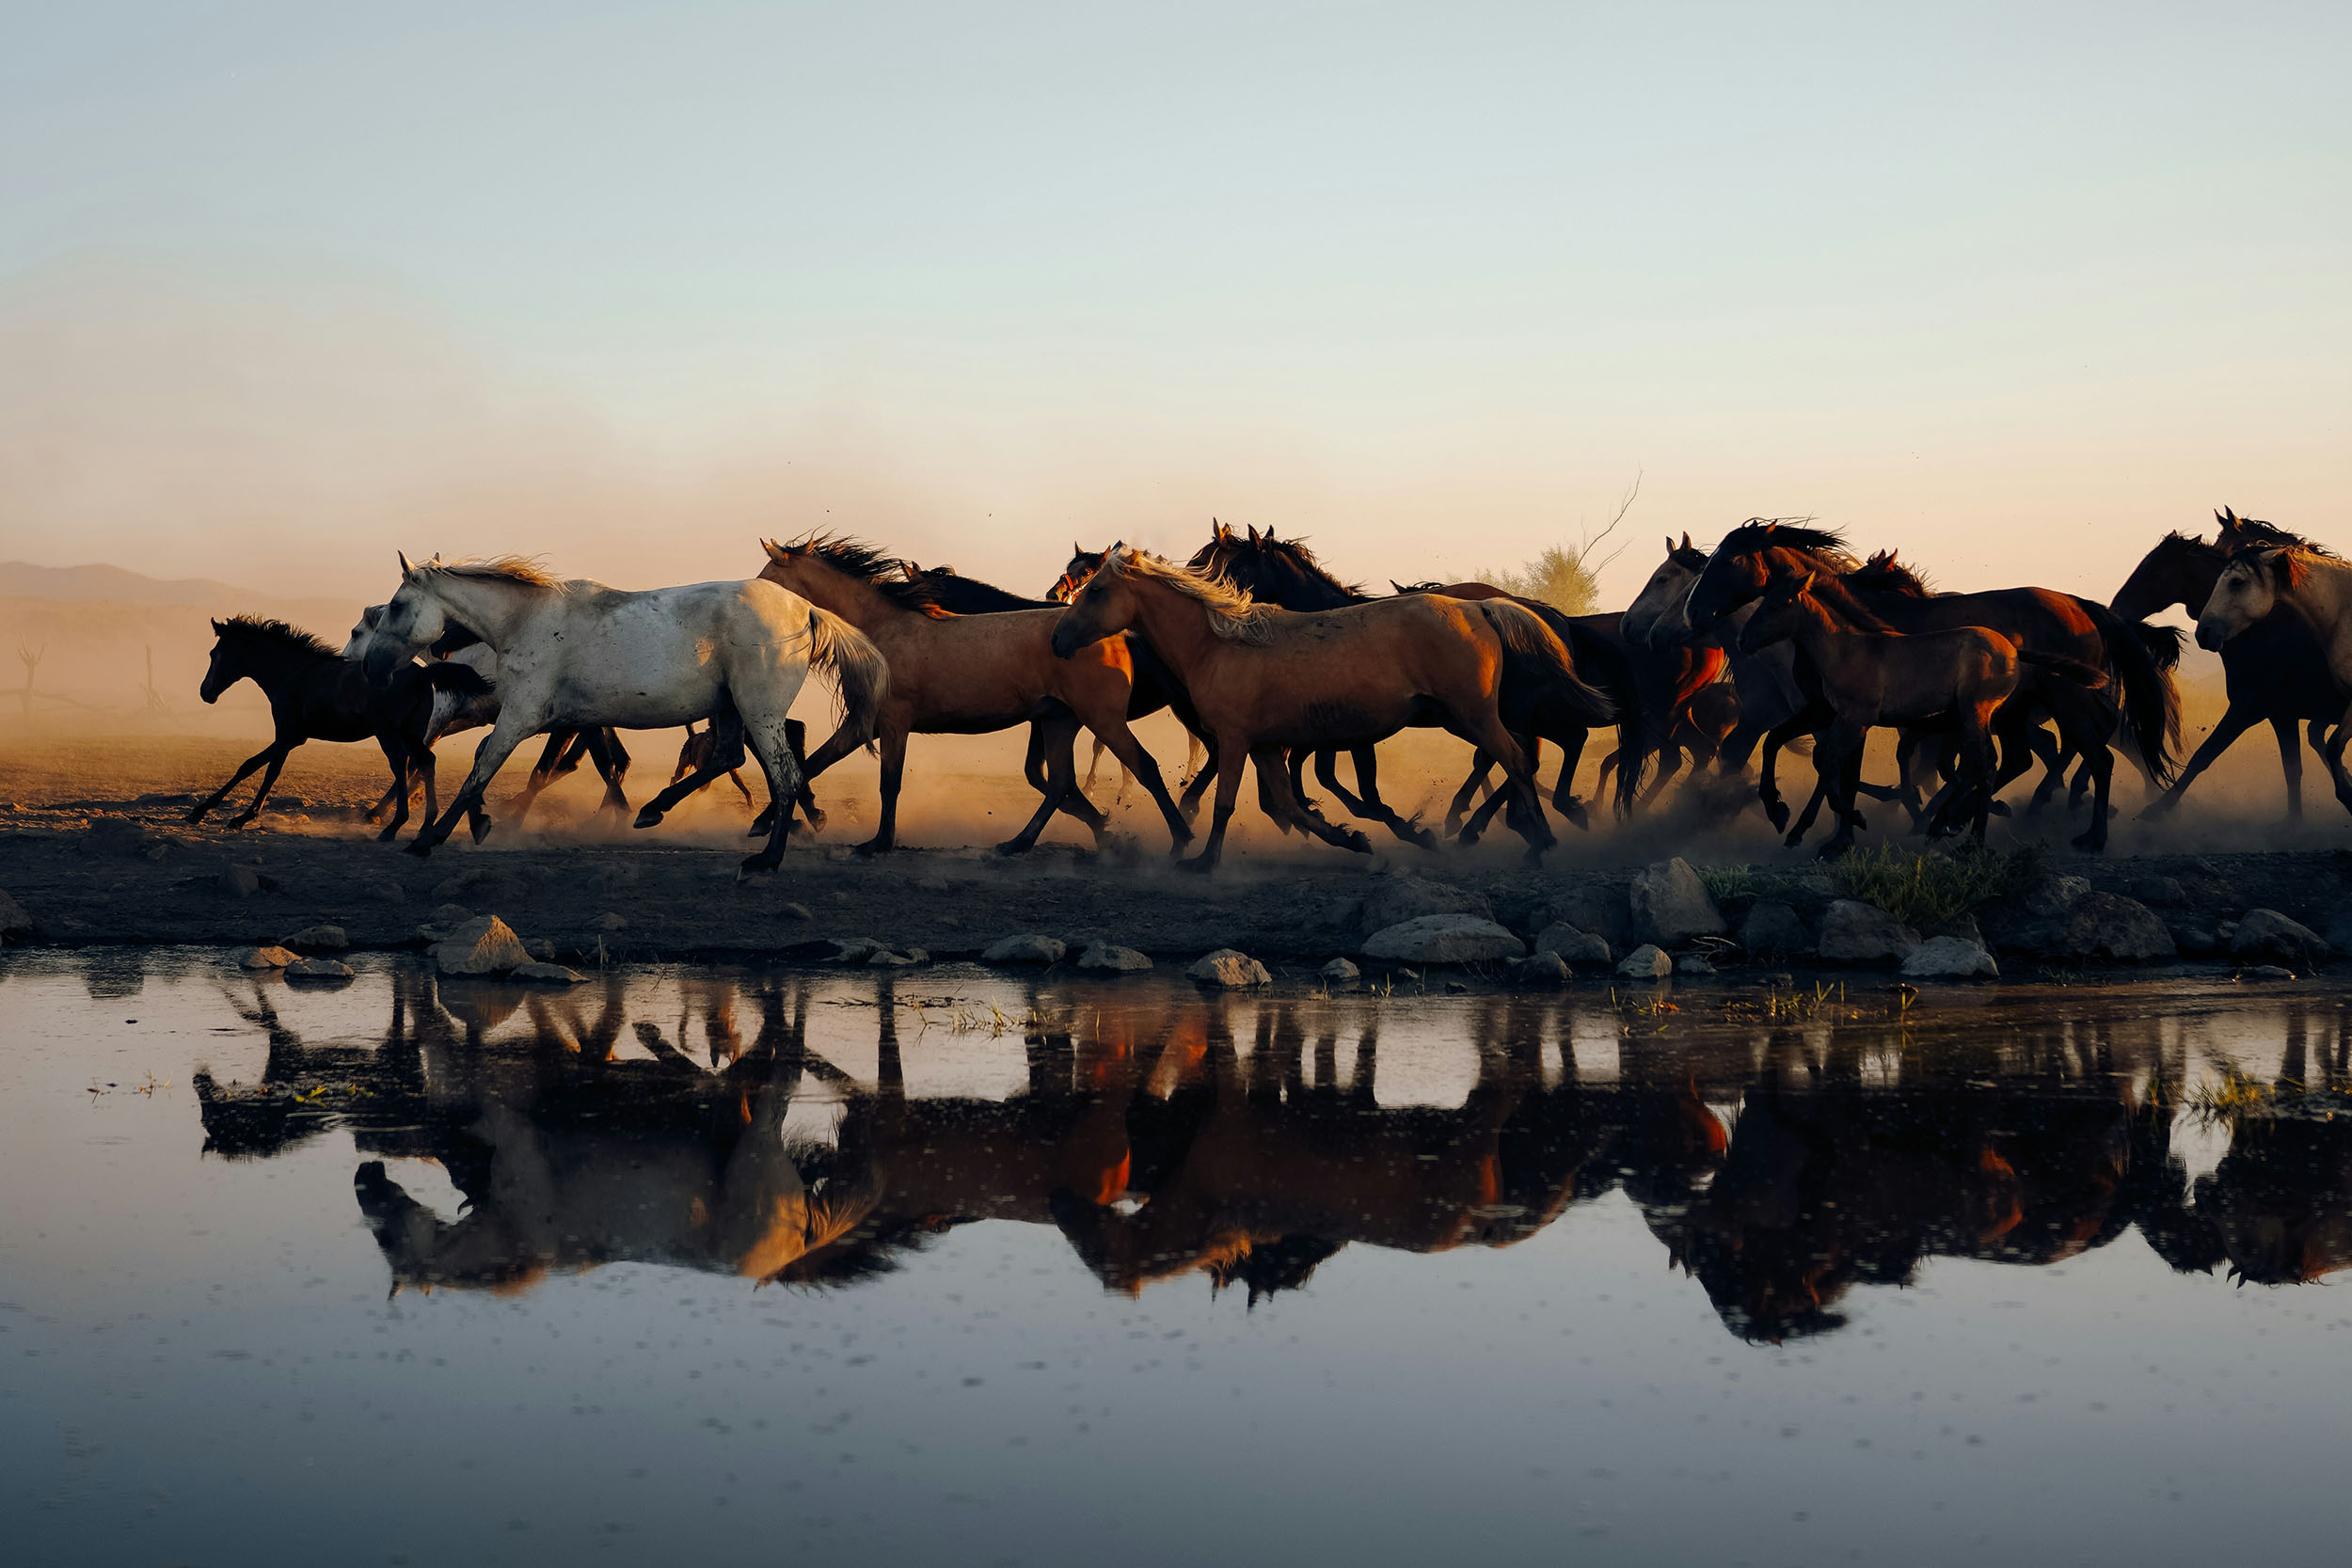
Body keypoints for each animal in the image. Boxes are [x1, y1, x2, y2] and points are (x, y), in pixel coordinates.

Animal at [190, 615, 491, 838]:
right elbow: (254, 766)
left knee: (401, 765)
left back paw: (394, 826)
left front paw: (237, 816)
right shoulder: (294, 737)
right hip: (411, 733)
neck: (293, 673)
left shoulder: (287, 734)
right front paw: (209, 812)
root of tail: (421, 673)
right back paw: (426, 823)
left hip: (389, 733)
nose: (206, 692)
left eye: (214, 654)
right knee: (425, 761)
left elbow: (264, 771)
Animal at [359, 554, 888, 872]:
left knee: (784, 775)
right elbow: (508, 762)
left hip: (760, 711)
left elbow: (481, 769)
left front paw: (432, 837)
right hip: (732, 709)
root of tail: (806, 611)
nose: (370, 666)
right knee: (730, 758)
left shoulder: (523, 714)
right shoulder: (558, 719)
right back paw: (655, 810)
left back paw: (766, 859)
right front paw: (479, 823)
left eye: (398, 605)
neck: (527, 620)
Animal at [749, 536, 1195, 856]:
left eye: (768, 579)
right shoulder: (865, 724)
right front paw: (772, 821)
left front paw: (878, 843)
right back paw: (1020, 844)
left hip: (1102, 718)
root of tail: (1117, 636)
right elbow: (813, 764)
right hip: (1060, 721)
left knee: (1144, 767)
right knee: (1058, 783)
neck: (881, 630)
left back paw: (1180, 839)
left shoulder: (893, 723)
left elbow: (888, 783)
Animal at [1051, 547, 1585, 868]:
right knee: (1517, 758)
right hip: (1463, 717)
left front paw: (1202, 862)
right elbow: (1291, 804)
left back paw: (1539, 839)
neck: (1219, 644)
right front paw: (1353, 839)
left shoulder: (1236, 740)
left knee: (1516, 760)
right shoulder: (1267, 747)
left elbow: (1227, 802)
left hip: (1473, 715)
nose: (1057, 639)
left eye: (1096, 589)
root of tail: (1480, 607)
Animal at [2113, 512, 2347, 821]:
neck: (2263, 629)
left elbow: (2203, 756)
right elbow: (2293, 770)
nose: (2117, 608)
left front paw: (2157, 810)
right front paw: (2294, 821)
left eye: (2152, 572)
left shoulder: (2247, 709)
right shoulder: (2281, 716)